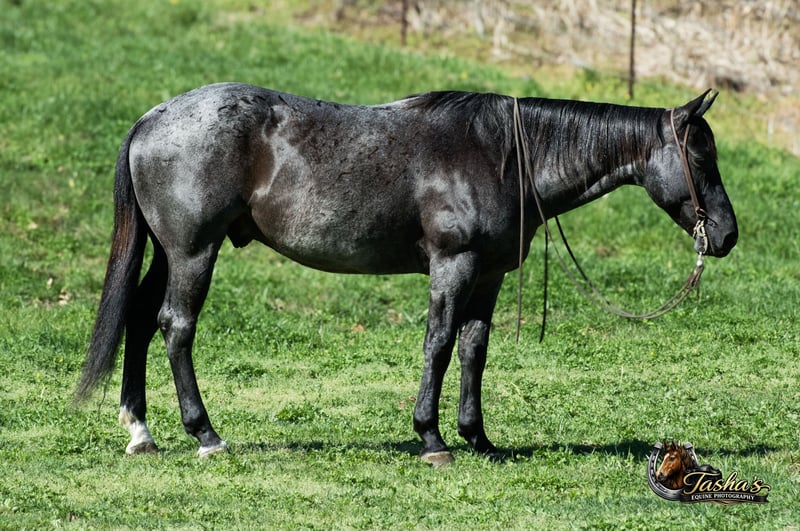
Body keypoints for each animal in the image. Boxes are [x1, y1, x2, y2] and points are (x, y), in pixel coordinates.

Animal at [75, 83, 738, 466]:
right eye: (700, 154)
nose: (727, 235)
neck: (504, 154)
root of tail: (153, 117)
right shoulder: (454, 265)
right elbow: (439, 345)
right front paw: (432, 438)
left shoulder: (489, 276)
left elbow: (474, 349)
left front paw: (478, 437)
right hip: (193, 252)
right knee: (176, 326)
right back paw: (205, 434)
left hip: (171, 252)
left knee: (141, 318)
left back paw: (140, 430)